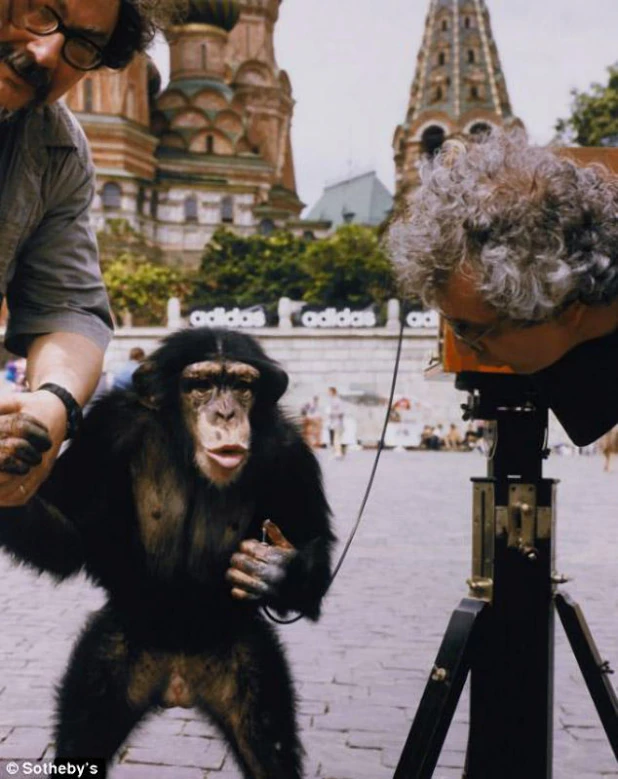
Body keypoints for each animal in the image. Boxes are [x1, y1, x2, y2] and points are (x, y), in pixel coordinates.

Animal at [0, 330, 334, 779]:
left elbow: (313, 544)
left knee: (271, 752)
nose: (226, 413)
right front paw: (10, 446)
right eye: (201, 385)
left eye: (242, 386)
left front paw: (277, 570)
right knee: (81, 739)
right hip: (110, 663)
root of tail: (179, 684)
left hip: (248, 670)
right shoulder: (107, 431)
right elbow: (70, 539)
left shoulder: (291, 455)